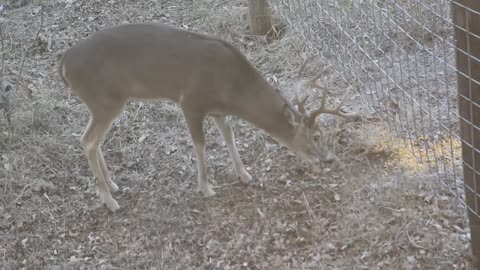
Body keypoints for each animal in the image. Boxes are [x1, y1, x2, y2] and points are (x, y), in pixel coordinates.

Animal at [58, 23, 356, 212]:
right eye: (316, 136)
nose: (330, 158)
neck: (233, 87)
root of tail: (64, 63)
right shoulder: (191, 102)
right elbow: (201, 145)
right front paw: (206, 188)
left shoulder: (218, 110)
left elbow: (229, 137)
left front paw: (245, 175)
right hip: (105, 99)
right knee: (87, 141)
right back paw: (110, 202)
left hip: (102, 103)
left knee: (92, 140)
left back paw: (113, 186)